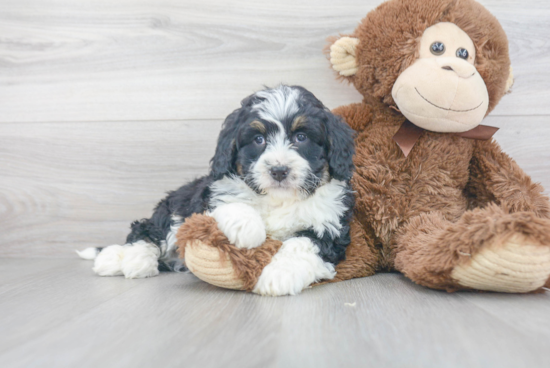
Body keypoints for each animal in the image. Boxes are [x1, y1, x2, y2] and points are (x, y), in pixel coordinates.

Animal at [75, 85, 356, 296]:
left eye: (301, 137)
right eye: (258, 140)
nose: (278, 170)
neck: (279, 199)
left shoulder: (330, 226)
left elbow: (303, 244)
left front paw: (280, 274)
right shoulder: (210, 197)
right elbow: (233, 203)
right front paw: (247, 230)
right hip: (176, 208)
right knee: (146, 229)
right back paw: (124, 259)